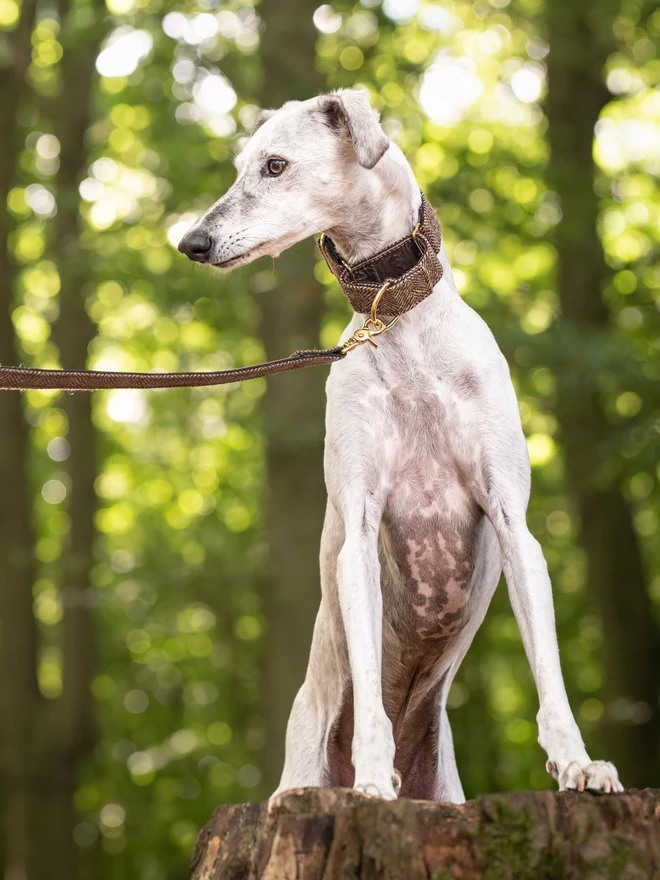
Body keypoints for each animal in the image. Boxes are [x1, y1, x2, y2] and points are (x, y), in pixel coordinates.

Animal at [178, 89, 620, 804]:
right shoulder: (358, 530)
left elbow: (550, 679)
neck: (397, 317)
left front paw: (579, 764)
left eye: (274, 165)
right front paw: (370, 781)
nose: (191, 242)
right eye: (241, 166)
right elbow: (368, 700)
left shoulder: (514, 521)